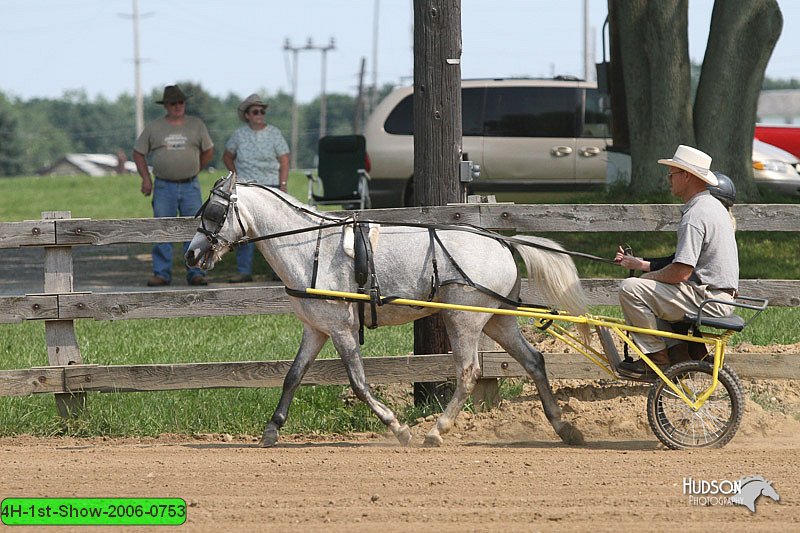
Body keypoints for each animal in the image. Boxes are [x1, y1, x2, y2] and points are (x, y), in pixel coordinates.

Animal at [186, 174, 588, 444]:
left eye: (215, 212)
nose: (191, 254)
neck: (310, 246)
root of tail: (502, 242)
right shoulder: (317, 328)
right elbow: (293, 376)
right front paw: (272, 429)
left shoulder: (342, 328)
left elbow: (359, 383)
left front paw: (398, 428)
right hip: (497, 322)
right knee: (534, 360)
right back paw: (564, 427)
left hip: (464, 319)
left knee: (469, 372)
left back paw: (436, 431)